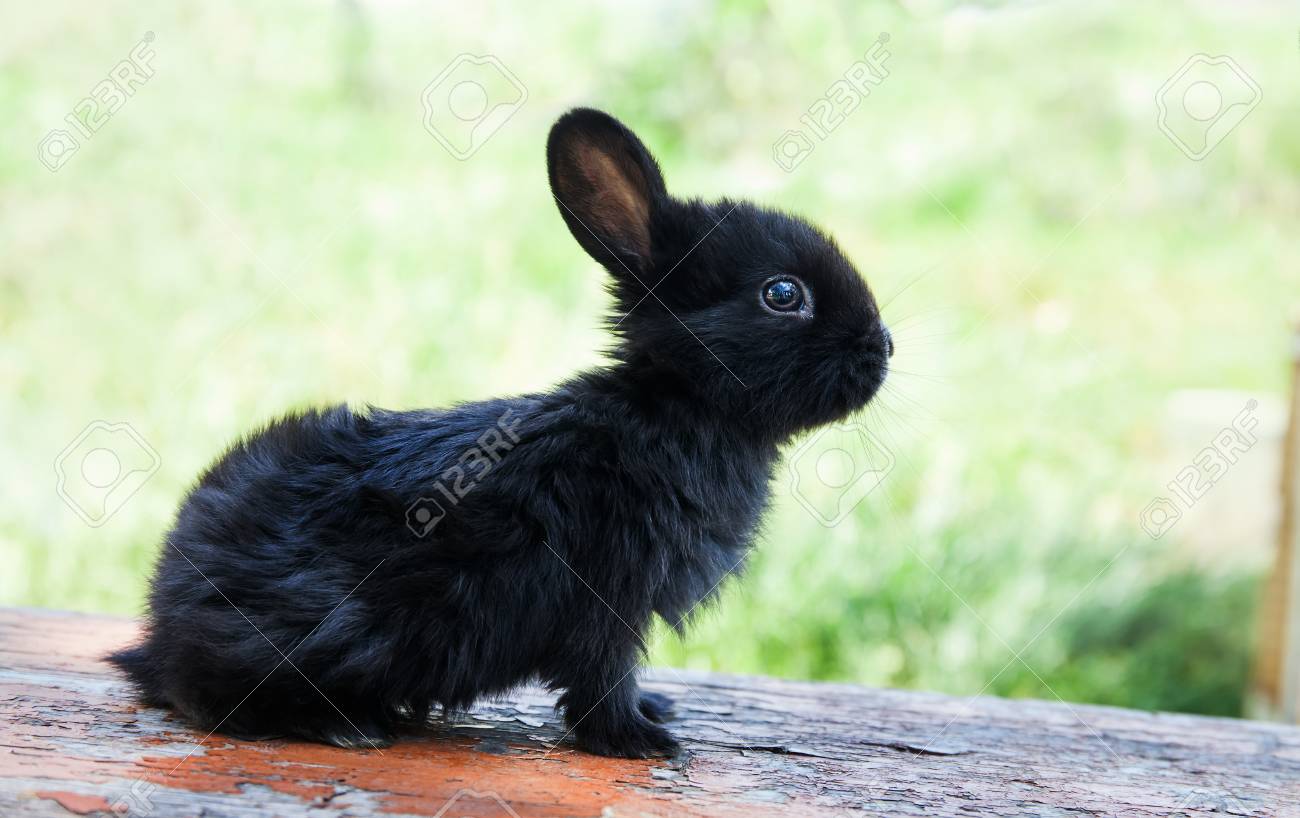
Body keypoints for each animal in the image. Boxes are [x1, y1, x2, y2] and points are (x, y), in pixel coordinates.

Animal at [108, 107, 893, 759]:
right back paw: (346, 725)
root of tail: (163, 621)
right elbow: (602, 676)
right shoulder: (609, 594)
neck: (676, 406)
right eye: (783, 294)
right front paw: (640, 742)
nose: (882, 347)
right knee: (210, 700)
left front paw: (657, 714)